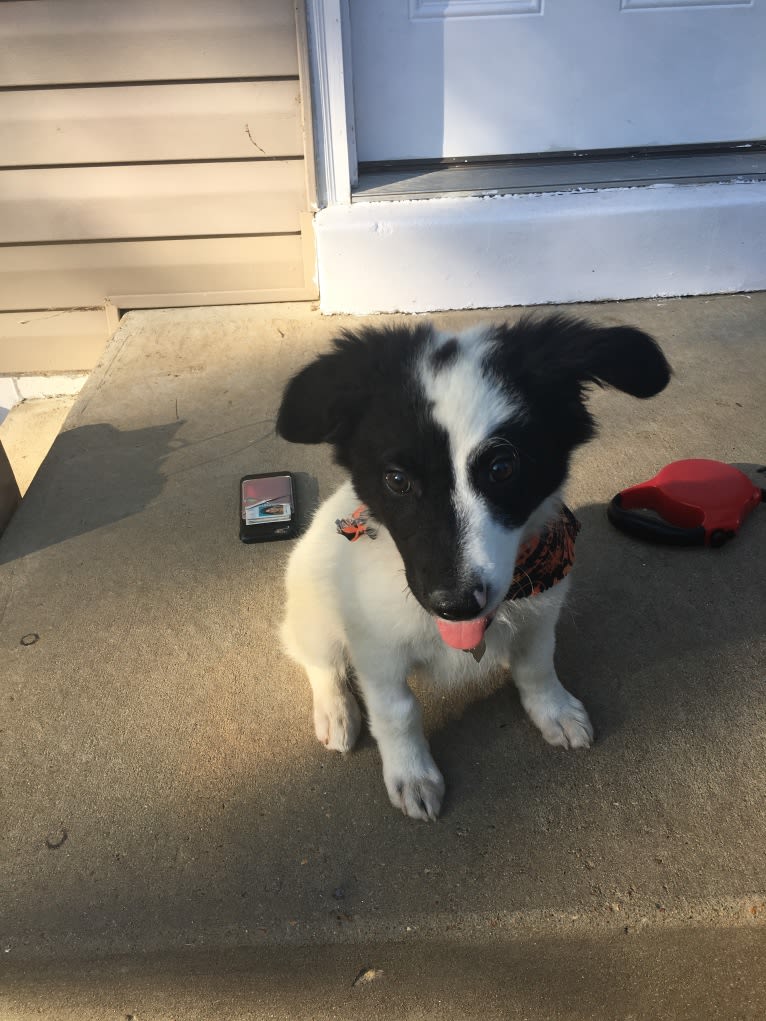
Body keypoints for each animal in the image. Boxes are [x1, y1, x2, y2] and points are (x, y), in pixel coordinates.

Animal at [277, 318, 669, 820]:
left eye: (502, 468)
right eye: (397, 480)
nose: (457, 604)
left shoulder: (541, 613)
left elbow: (537, 665)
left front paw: (554, 711)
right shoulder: (377, 649)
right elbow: (397, 711)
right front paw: (412, 774)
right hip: (314, 608)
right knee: (317, 658)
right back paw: (336, 711)